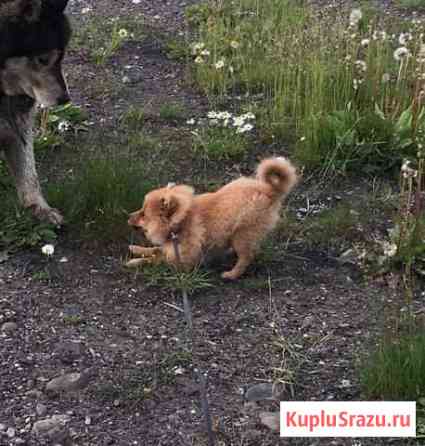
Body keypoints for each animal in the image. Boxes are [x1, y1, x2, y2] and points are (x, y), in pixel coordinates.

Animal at [0, 0, 71, 223]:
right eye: (43, 59)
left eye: (62, 56)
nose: (65, 99)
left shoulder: (18, 116)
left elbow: (28, 171)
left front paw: (39, 207)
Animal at [127, 158, 296, 278]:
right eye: (141, 210)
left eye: (143, 214)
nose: (128, 216)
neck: (180, 223)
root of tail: (269, 190)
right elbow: (156, 249)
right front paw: (136, 248)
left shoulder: (182, 262)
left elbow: (155, 258)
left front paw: (135, 261)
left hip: (242, 235)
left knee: (246, 257)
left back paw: (231, 274)